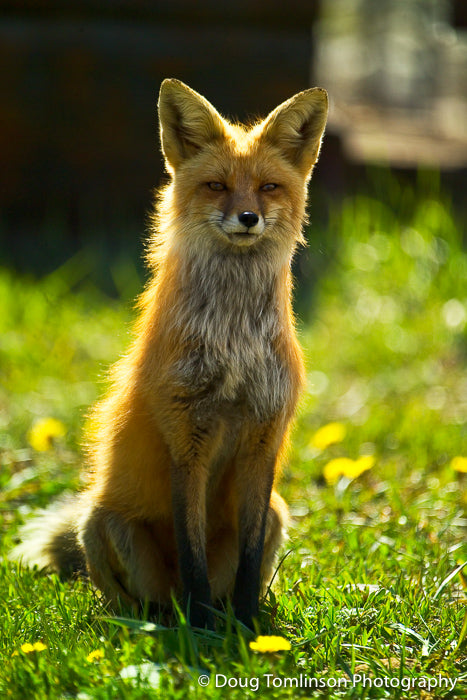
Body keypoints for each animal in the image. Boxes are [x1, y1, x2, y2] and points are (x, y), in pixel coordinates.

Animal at [13, 79, 328, 630]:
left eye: (268, 187)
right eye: (217, 186)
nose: (248, 218)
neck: (233, 340)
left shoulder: (263, 437)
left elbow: (247, 562)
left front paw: (248, 627)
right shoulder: (185, 437)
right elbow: (190, 547)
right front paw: (199, 631)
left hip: (278, 510)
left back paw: (227, 617)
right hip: (102, 523)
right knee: (138, 600)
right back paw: (165, 621)